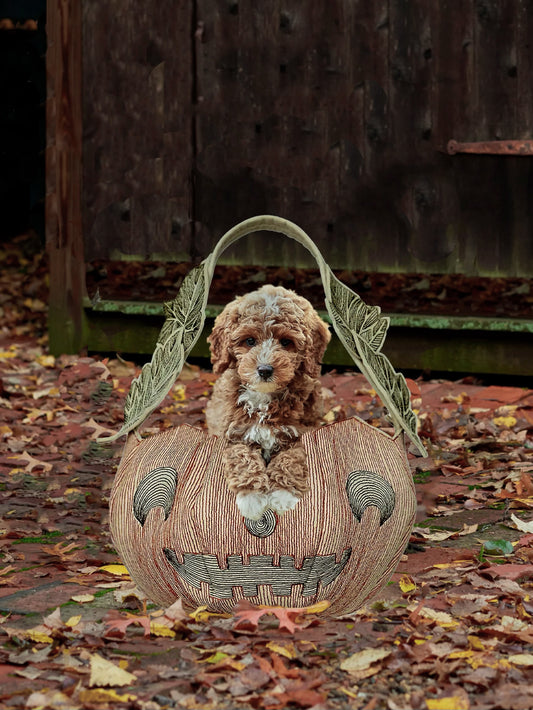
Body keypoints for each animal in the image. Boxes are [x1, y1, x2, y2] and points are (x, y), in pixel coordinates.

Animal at [206, 284, 330, 524]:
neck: (263, 399)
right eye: (249, 341)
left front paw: (282, 495)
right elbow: (242, 457)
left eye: (286, 342)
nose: (264, 370)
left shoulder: (301, 430)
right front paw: (253, 499)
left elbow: (292, 459)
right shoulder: (233, 433)